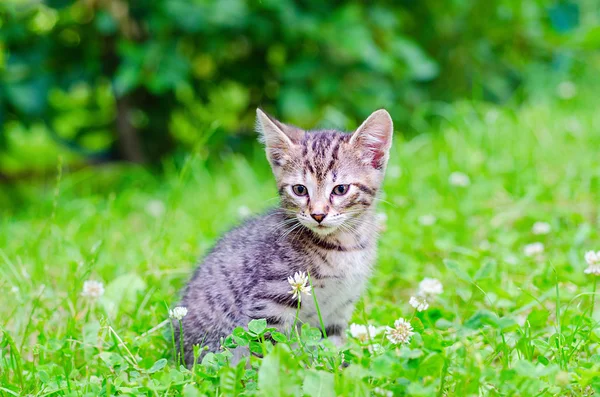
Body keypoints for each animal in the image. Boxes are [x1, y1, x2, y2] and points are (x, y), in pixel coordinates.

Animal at [177, 106, 394, 364]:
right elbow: (267, 350)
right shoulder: (271, 301)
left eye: (340, 189)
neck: (344, 246)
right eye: (300, 189)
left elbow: (331, 347)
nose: (318, 214)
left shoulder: (337, 310)